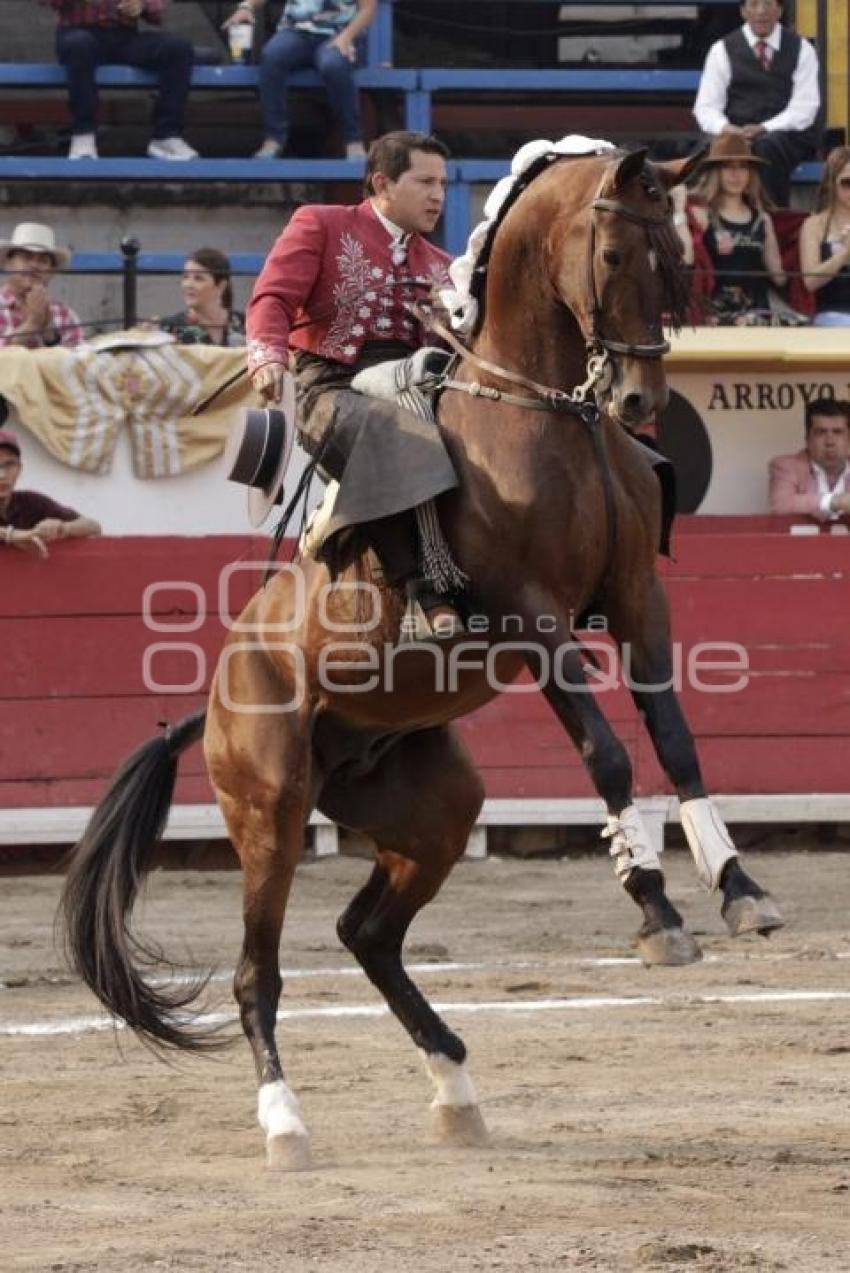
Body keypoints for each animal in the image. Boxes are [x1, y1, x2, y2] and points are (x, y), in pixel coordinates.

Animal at [59, 144, 783, 1166]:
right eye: (610, 254)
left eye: (673, 258)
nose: (639, 400)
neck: (542, 412)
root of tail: (215, 700)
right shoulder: (531, 615)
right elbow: (605, 750)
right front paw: (654, 905)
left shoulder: (641, 598)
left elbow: (676, 741)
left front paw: (739, 889)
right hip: (270, 813)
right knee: (255, 972)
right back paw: (287, 1122)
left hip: (436, 808)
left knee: (366, 933)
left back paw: (455, 1088)